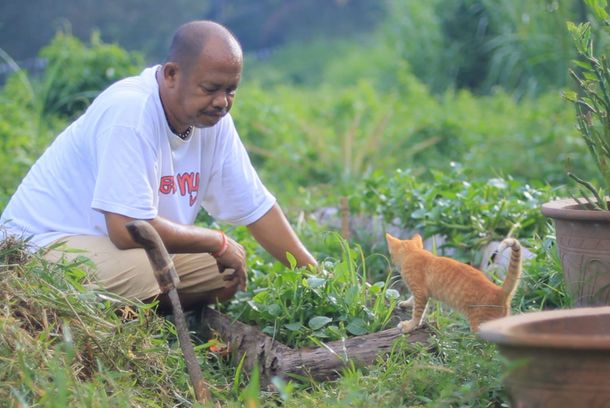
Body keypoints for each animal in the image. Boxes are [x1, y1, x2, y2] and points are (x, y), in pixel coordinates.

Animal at [388, 233, 520, 332]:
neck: (413, 253)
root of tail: (500, 291)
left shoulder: (421, 293)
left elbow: (417, 313)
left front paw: (409, 325)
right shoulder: (422, 293)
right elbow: (413, 300)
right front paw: (406, 303)